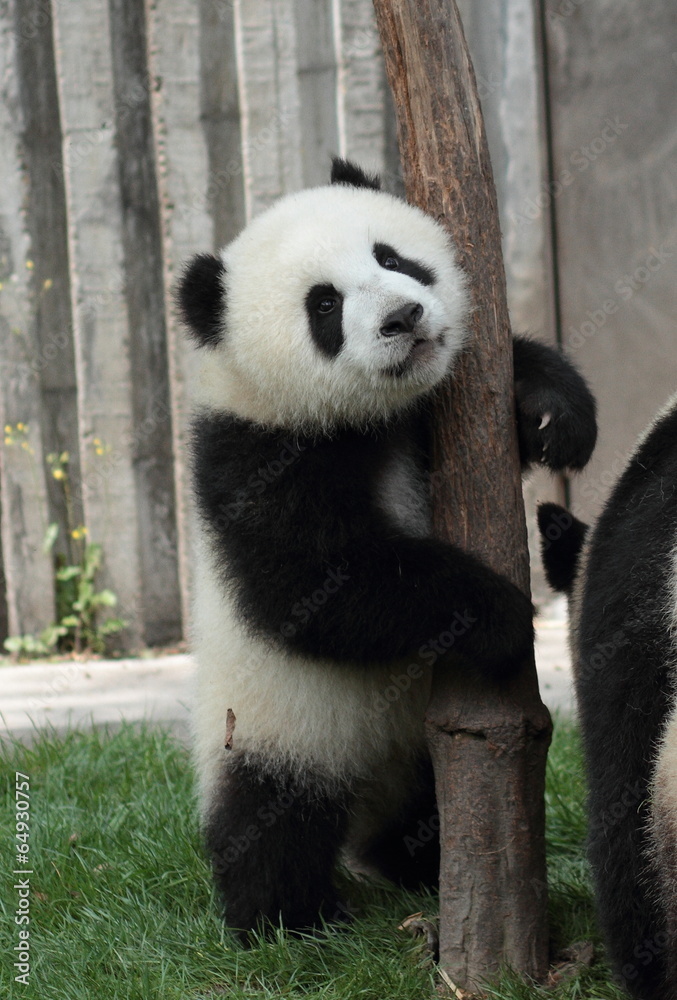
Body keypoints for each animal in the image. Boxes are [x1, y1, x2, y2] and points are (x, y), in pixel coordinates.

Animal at [178, 157, 597, 939]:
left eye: (392, 258)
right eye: (323, 305)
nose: (403, 319)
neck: (364, 418)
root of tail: (368, 785)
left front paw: (552, 409)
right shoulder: (254, 456)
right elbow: (317, 589)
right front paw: (500, 617)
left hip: (416, 756)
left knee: (420, 810)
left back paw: (418, 869)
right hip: (270, 722)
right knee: (270, 817)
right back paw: (290, 920)